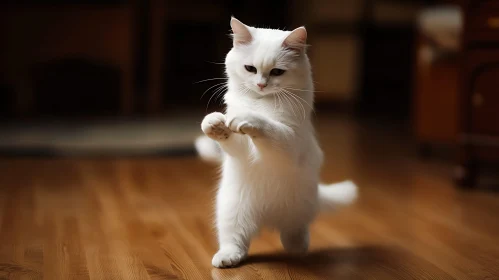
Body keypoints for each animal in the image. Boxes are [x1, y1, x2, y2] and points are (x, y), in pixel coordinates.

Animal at [195, 18, 360, 270]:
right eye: (250, 69)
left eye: (277, 72)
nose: (261, 85)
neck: (260, 102)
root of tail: (267, 219)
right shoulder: (241, 151)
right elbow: (227, 134)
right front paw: (214, 123)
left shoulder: (288, 142)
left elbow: (267, 127)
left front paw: (247, 118)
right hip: (232, 212)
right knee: (237, 243)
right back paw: (227, 258)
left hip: (296, 214)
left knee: (295, 236)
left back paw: (298, 249)